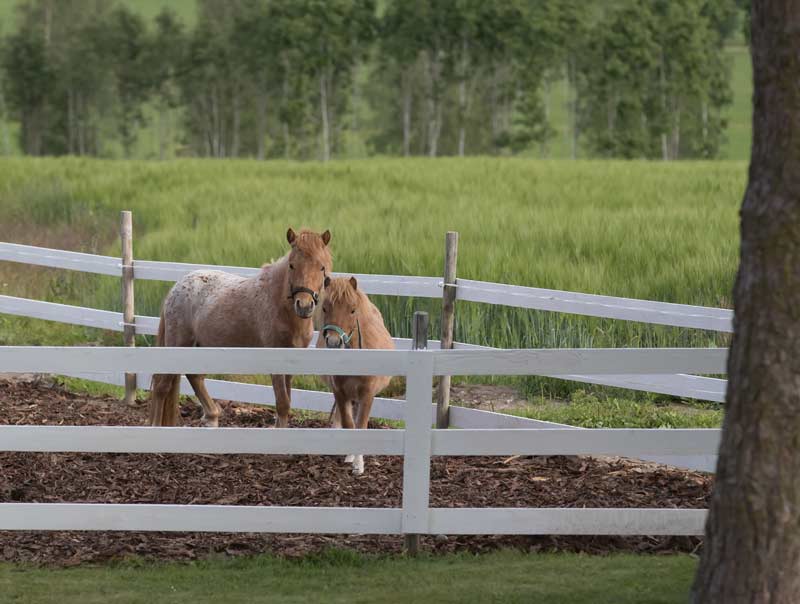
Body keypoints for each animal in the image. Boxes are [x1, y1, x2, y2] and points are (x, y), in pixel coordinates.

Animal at [148, 228, 332, 430]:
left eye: (322, 267)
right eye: (292, 265)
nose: (304, 306)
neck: (279, 305)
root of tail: (177, 287)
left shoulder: (292, 363)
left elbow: (287, 403)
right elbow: (282, 404)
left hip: (199, 345)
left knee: (194, 376)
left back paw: (212, 416)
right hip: (178, 343)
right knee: (162, 385)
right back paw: (156, 426)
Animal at [318, 276, 396, 474]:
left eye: (352, 310)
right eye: (324, 308)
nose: (333, 342)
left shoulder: (367, 394)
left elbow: (361, 425)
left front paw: (358, 464)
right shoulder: (339, 391)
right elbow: (348, 423)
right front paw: (350, 457)